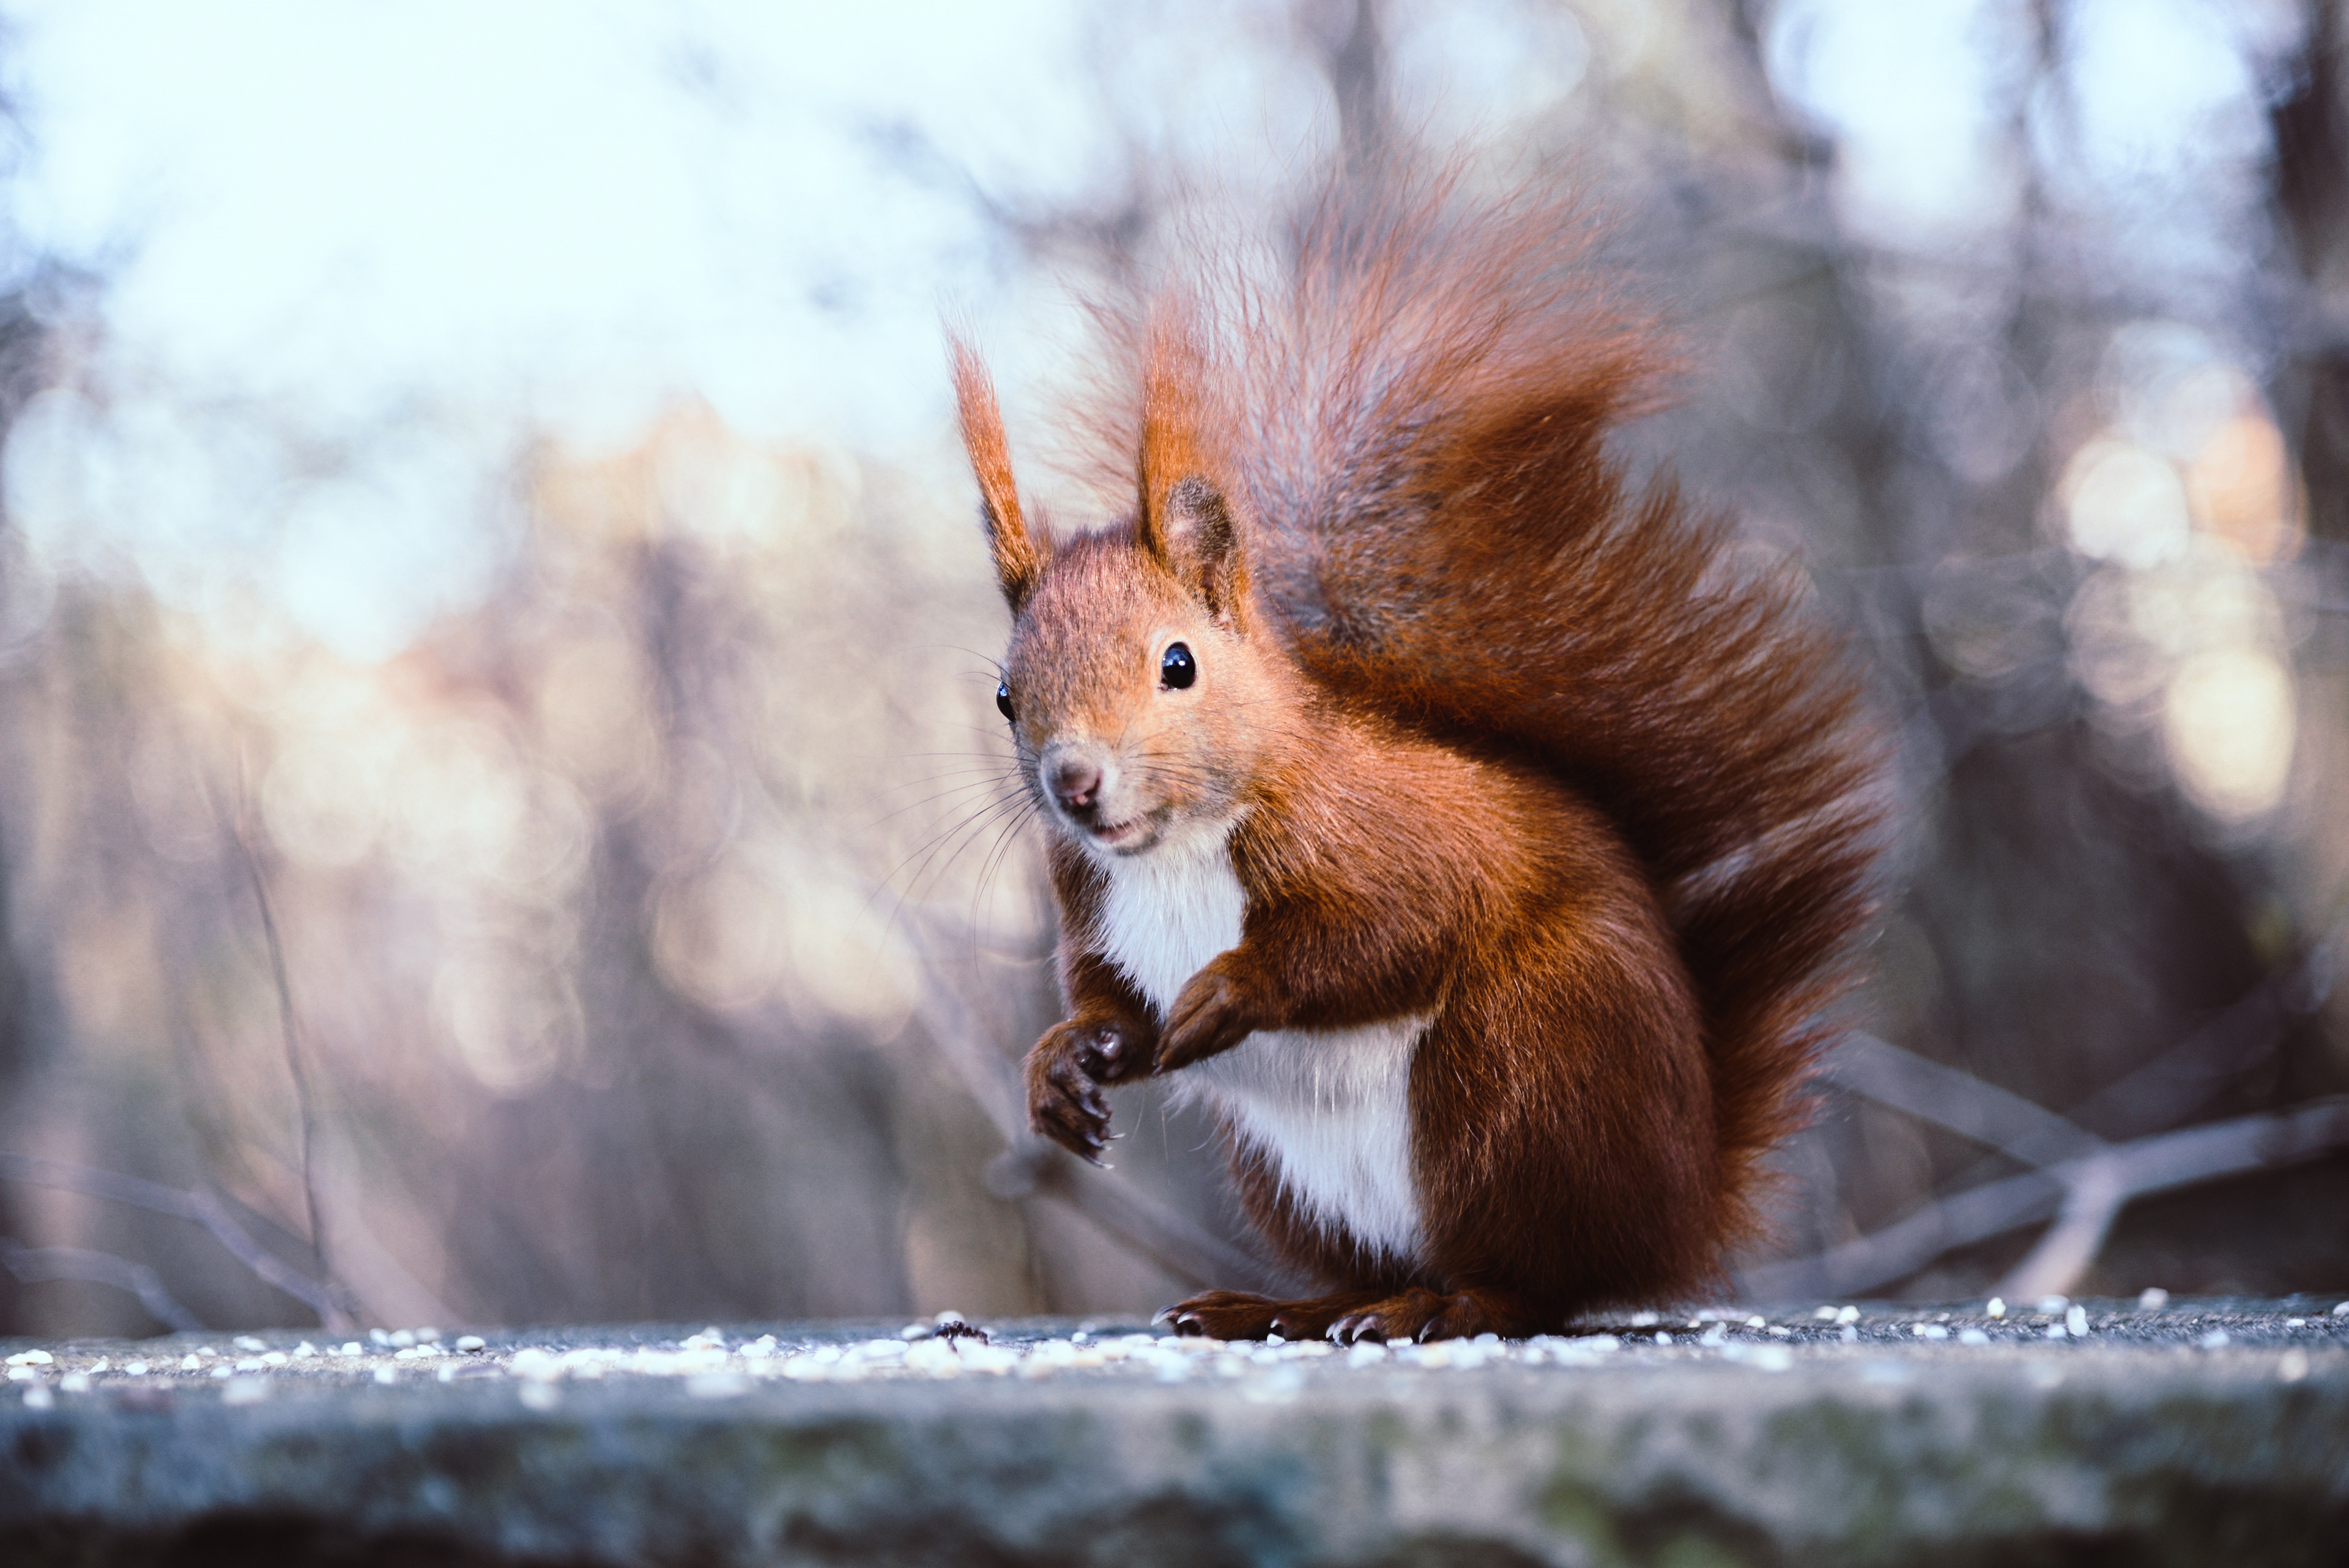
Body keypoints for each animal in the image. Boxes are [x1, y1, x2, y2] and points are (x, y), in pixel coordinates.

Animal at [948, 170, 1883, 1343]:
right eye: (1004, 695)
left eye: (1178, 663)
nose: (1075, 783)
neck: (1176, 850)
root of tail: (1682, 1206)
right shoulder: (1091, 900)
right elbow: (1107, 997)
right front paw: (1064, 1063)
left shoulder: (1390, 834)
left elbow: (1392, 925)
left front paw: (1232, 988)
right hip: (1292, 1178)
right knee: (1366, 1268)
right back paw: (1282, 1306)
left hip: (1517, 1073)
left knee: (1535, 1280)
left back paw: (1439, 1307)